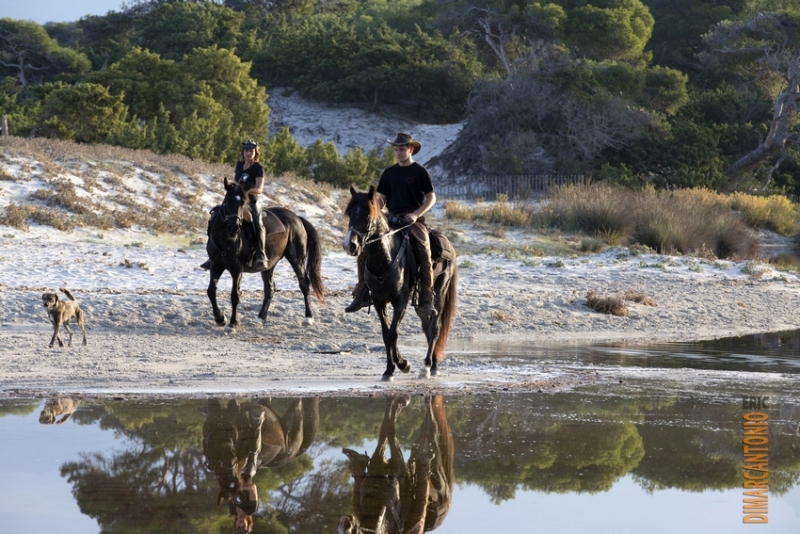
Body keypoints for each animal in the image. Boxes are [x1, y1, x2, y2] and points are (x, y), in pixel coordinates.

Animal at [209, 178, 328, 332]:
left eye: (242, 203)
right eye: (227, 201)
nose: (234, 228)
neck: (226, 239)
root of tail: (297, 218)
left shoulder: (237, 270)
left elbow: (235, 296)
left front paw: (232, 323)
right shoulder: (216, 265)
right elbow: (211, 291)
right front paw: (220, 318)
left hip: (296, 259)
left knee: (304, 284)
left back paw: (308, 318)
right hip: (269, 265)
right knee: (270, 289)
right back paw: (261, 317)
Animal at [342, 186, 456, 384]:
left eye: (366, 215)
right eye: (350, 213)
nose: (350, 245)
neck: (384, 258)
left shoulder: (400, 300)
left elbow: (392, 333)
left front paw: (403, 364)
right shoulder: (379, 301)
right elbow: (386, 334)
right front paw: (389, 370)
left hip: (440, 292)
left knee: (435, 328)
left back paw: (427, 367)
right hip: (420, 305)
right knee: (427, 327)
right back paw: (433, 365)